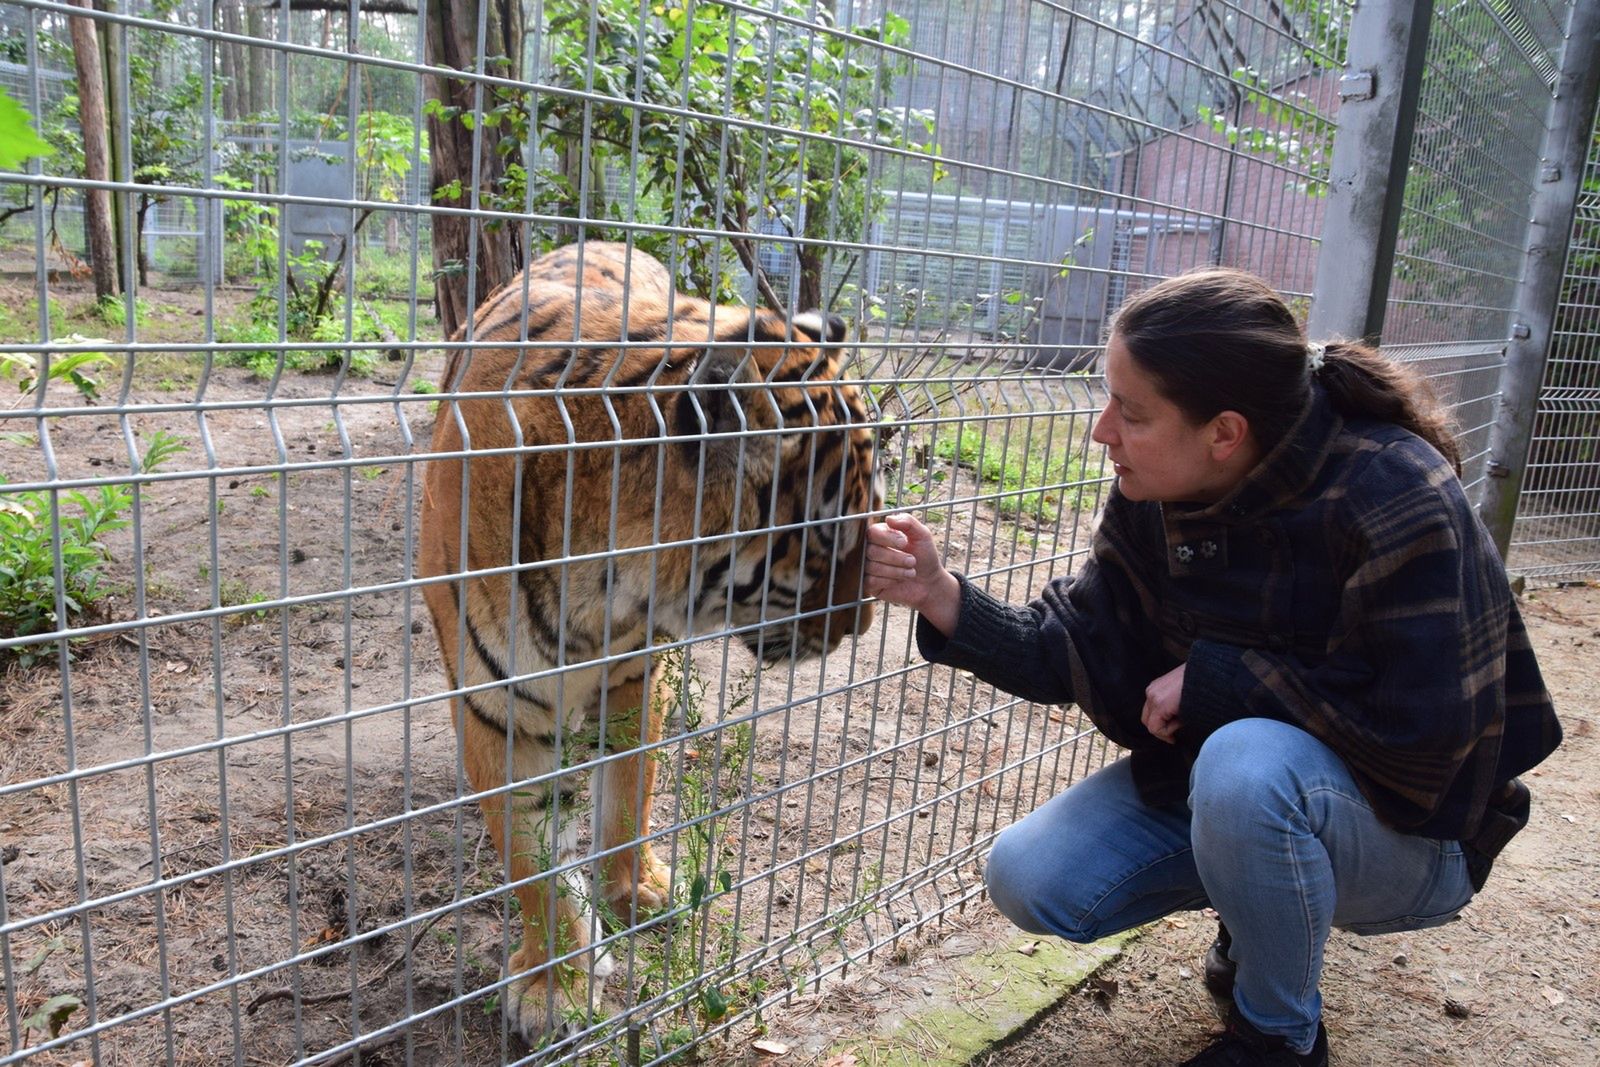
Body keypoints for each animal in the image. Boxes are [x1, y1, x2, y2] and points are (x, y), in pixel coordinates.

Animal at [419, 241, 883, 1043]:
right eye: (828, 542)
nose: (863, 623)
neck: (606, 591)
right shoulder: (495, 712)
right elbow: (534, 867)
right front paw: (554, 985)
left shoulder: (638, 677)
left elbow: (627, 792)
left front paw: (633, 888)